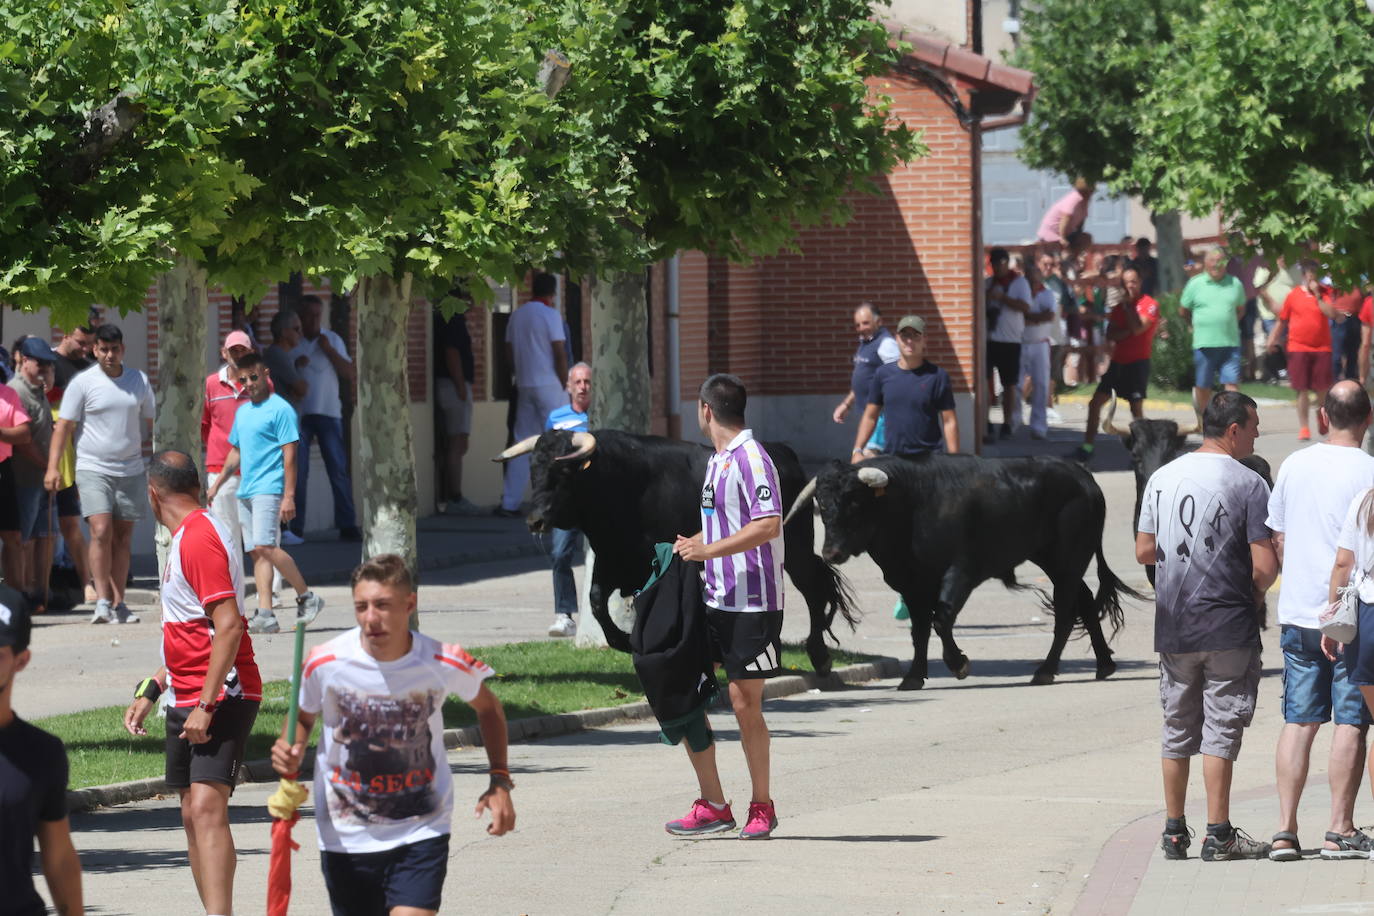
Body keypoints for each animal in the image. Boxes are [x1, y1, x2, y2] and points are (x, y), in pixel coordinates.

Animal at [494, 428, 857, 672]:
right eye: (533, 469)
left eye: (563, 472)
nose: (535, 520)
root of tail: (782, 453)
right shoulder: (611, 560)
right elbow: (597, 601)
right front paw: (621, 641)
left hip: (794, 549)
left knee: (813, 588)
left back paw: (818, 655)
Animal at [791, 455, 1143, 692]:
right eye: (822, 504)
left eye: (854, 502)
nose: (831, 553)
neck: (912, 503)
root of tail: (1083, 477)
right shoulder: (912, 582)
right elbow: (920, 630)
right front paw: (913, 677)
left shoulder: (960, 572)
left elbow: (941, 620)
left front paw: (958, 663)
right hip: (1054, 561)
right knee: (1085, 601)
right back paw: (1104, 664)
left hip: (1069, 558)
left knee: (1067, 612)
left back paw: (1046, 670)